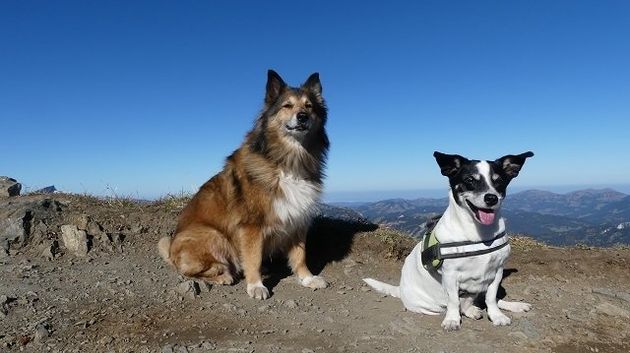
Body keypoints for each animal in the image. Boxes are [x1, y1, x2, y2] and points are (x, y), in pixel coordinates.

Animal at [159, 70, 330, 298]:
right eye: (287, 106)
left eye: (309, 106)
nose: (302, 116)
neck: (286, 160)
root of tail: (171, 250)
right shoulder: (251, 225)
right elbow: (253, 258)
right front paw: (256, 285)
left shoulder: (298, 219)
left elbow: (300, 255)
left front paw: (307, 278)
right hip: (214, 235)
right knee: (192, 271)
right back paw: (223, 274)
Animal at [366, 151, 532, 330]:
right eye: (470, 180)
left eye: (499, 181)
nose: (491, 198)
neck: (478, 234)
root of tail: (400, 290)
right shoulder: (450, 275)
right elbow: (453, 301)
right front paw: (452, 320)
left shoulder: (497, 271)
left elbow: (491, 298)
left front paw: (496, 316)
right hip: (428, 306)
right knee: (455, 305)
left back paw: (512, 305)